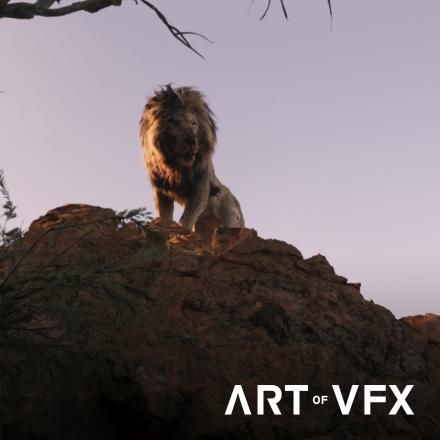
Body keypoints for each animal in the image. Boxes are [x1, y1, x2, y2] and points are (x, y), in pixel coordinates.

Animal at [140, 85, 246, 237]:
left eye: (194, 123)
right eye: (175, 122)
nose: (191, 141)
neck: (176, 166)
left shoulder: (200, 187)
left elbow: (188, 217)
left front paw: (182, 232)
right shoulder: (161, 188)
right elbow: (164, 214)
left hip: (230, 220)